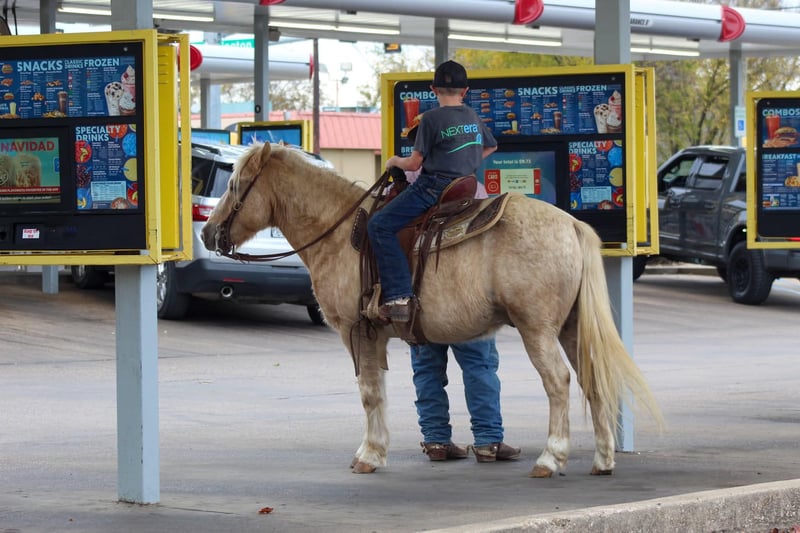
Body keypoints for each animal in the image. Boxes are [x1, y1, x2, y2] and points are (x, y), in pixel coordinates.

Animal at [200, 142, 663, 477]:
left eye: (236, 185)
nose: (207, 232)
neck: (339, 231)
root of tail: (572, 224)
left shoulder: (357, 331)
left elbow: (369, 394)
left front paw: (369, 455)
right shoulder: (376, 336)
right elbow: (381, 391)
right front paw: (377, 449)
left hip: (538, 329)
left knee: (559, 383)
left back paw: (550, 459)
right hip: (570, 327)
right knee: (591, 380)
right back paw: (602, 459)